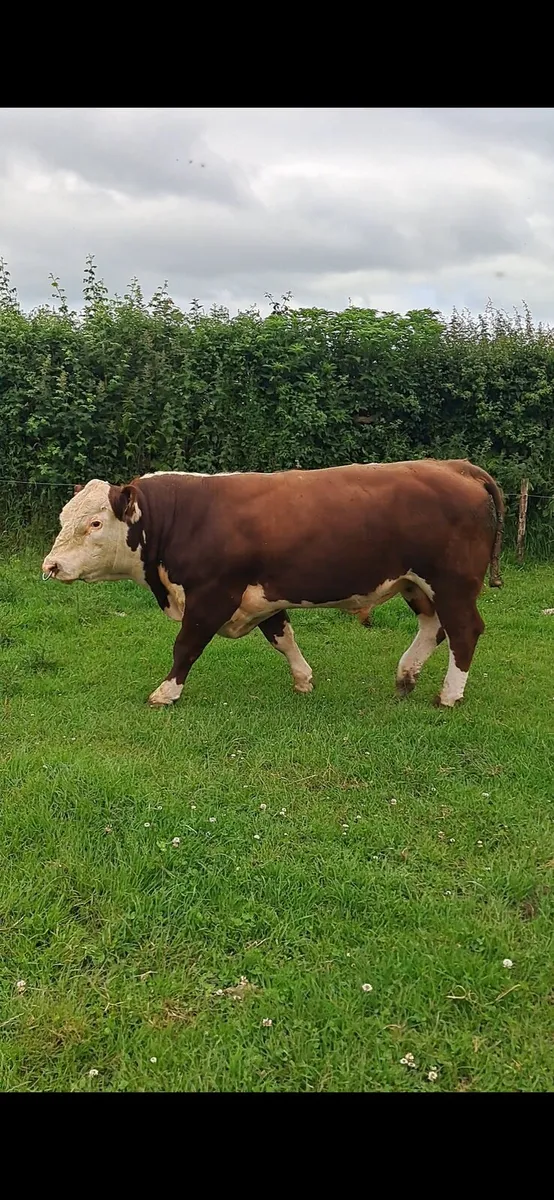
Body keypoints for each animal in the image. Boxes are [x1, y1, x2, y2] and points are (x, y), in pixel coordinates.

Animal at [41, 459, 504, 710]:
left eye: (94, 523)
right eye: (63, 517)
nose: (51, 565)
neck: (183, 518)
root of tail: (453, 465)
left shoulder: (213, 594)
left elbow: (186, 645)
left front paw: (166, 692)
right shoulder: (262, 596)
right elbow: (283, 637)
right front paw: (304, 679)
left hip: (452, 582)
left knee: (464, 631)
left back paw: (448, 696)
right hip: (416, 583)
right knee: (433, 627)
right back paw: (406, 676)